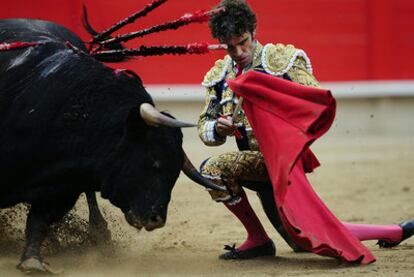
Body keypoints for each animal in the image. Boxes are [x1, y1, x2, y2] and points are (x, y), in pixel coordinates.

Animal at [0, 18, 225, 272]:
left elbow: (39, 220)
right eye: (153, 161)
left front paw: (32, 260)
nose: (156, 219)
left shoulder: (63, 188)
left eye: (175, 172)